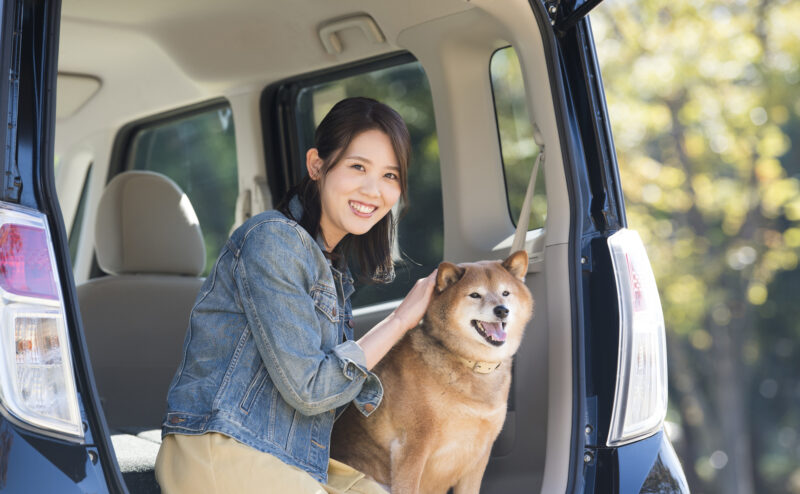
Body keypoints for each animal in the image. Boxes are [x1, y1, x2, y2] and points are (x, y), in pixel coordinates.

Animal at [328, 251, 536, 494]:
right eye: (475, 295)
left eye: (505, 293)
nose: (502, 309)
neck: (471, 363)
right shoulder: (412, 448)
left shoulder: (479, 455)